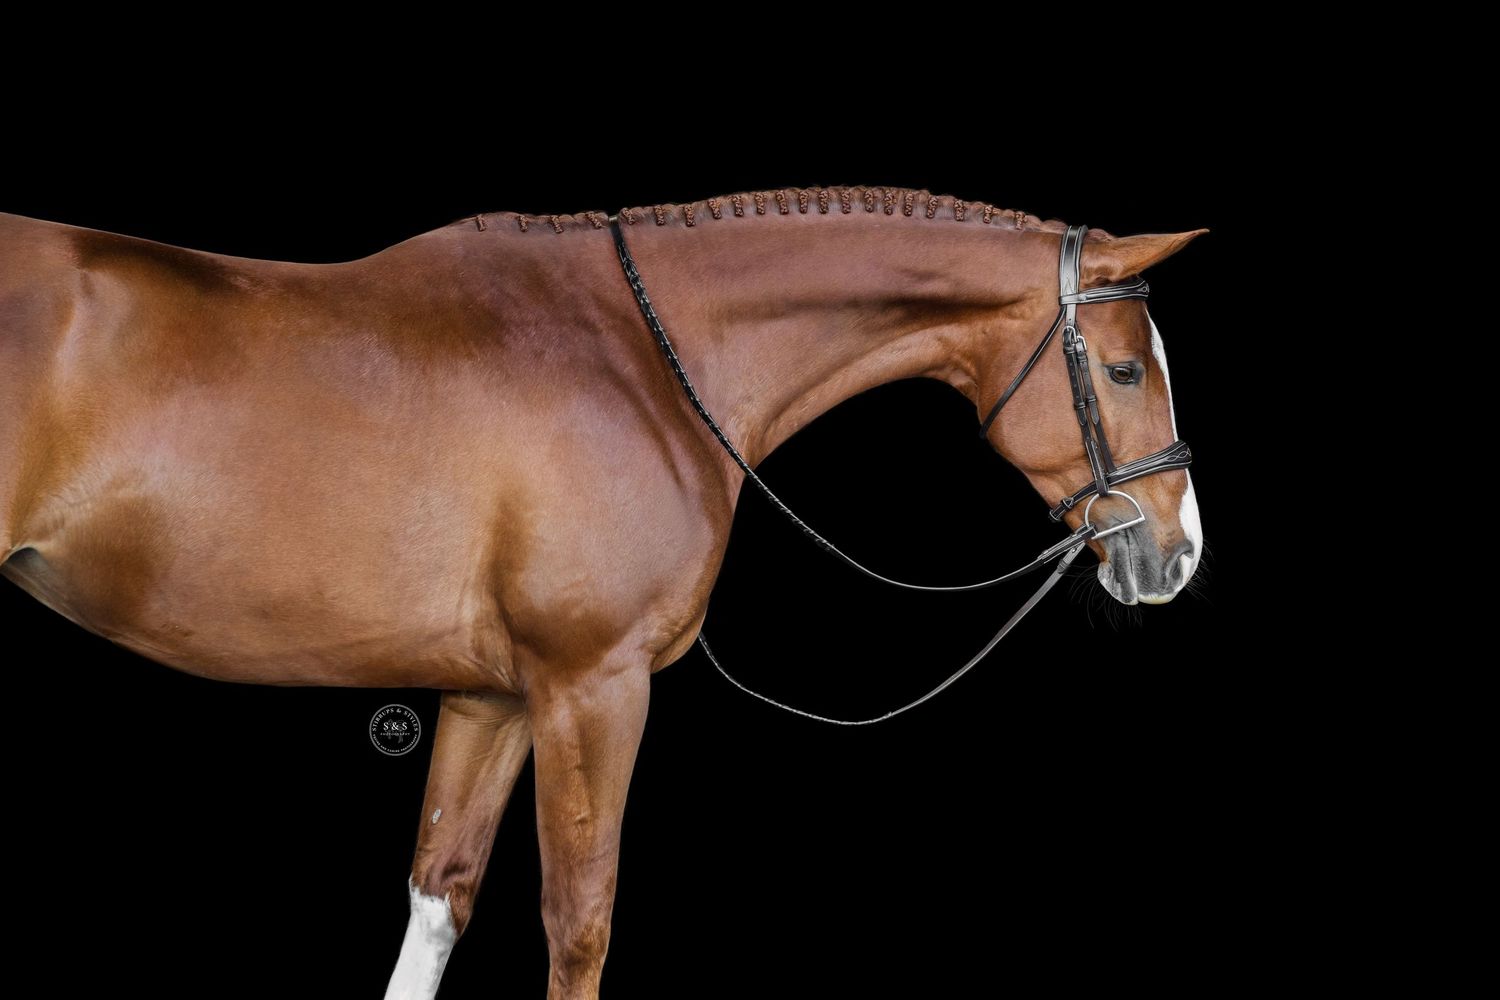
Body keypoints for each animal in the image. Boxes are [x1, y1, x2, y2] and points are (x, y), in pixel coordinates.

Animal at [0, 186, 1204, 999]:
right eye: (1124, 368)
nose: (1178, 554)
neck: (640, 358)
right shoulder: (593, 686)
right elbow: (580, 923)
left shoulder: (491, 697)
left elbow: (440, 895)